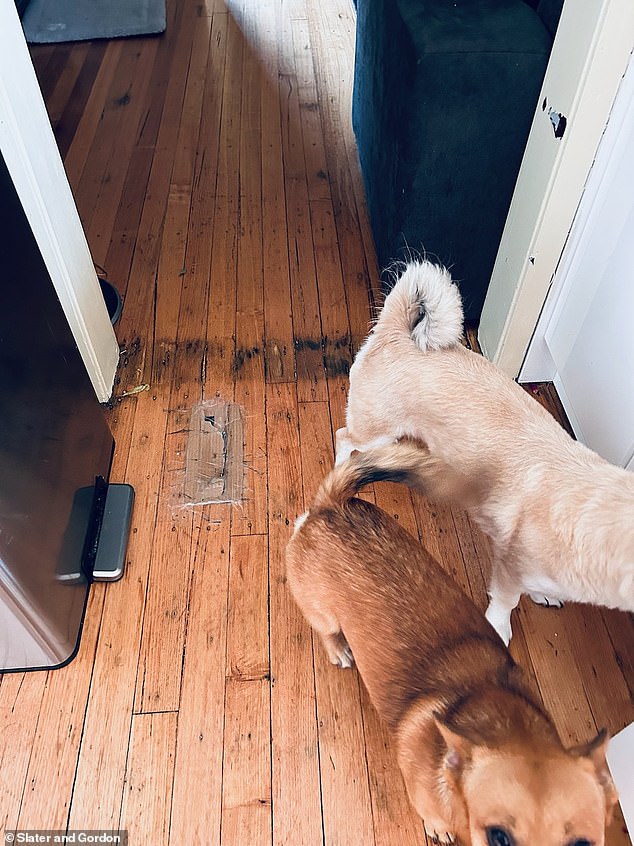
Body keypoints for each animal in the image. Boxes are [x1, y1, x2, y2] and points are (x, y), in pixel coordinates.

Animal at [284, 444, 616, 846]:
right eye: (498, 836)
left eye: (583, 842)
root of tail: (331, 505)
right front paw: (438, 829)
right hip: (325, 615)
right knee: (327, 632)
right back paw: (339, 651)